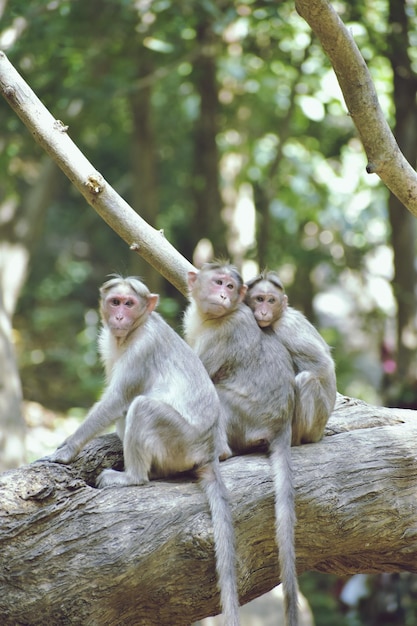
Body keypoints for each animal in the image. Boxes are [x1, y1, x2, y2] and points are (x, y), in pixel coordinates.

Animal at [47, 274, 239, 624]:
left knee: (141, 407)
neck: (132, 332)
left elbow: (117, 399)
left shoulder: (142, 348)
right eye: (115, 302)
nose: (120, 317)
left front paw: (67, 449)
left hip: (180, 440)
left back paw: (132, 477)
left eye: (129, 303)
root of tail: (207, 450)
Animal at [183, 262, 300, 624]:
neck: (213, 318)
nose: (223, 294)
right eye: (219, 282)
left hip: (248, 417)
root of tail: (282, 423)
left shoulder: (224, 333)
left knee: (216, 396)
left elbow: (199, 382)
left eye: (231, 286)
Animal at [245, 270, 336, 446]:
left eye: (271, 300)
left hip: (316, 423)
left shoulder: (286, 329)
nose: (264, 312)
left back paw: (293, 437)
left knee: (306, 379)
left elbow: (322, 365)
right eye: (259, 299)